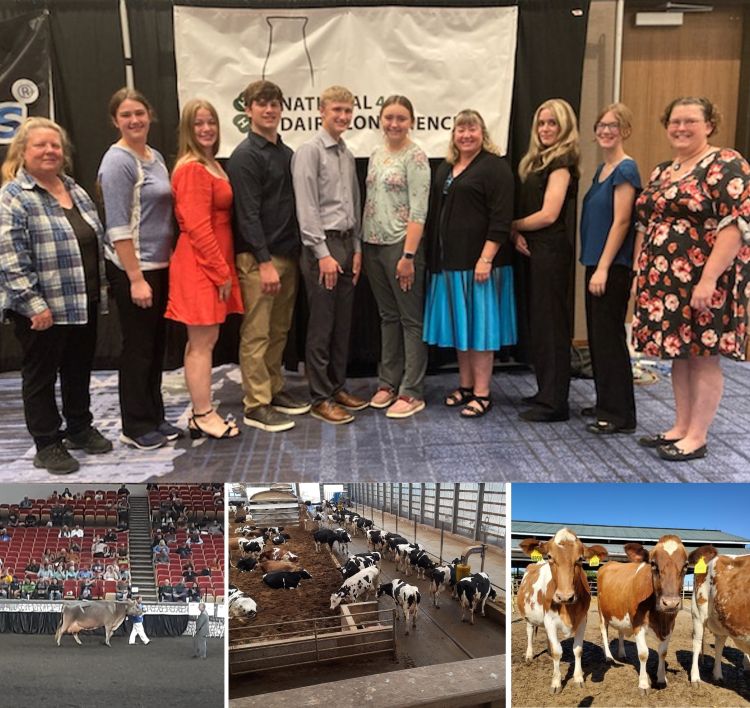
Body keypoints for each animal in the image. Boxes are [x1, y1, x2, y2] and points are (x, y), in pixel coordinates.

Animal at [520, 528, 612, 696]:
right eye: (550, 556)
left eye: (580, 559)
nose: (565, 596)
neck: (567, 610)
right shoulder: (549, 620)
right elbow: (558, 652)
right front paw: (556, 682)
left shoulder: (582, 620)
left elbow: (578, 649)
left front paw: (578, 678)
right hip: (529, 617)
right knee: (529, 632)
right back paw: (529, 655)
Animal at [600, 532, 688, 696]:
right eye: (653, 564)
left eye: (686, 565)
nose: (670, 603)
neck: (661, 618)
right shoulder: (638, 624)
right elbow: (643, 653)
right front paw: (643, 684)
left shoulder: (670, 626)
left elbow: (663, 652)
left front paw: (661, 679)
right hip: (602, 613)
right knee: (604, 631)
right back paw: (608, 657)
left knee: (620, 632)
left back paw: (622, 653)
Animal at [692, 544, 750, 684]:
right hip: (698, 612)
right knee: (697, 642)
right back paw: (695, 678)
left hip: (721, 619)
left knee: (719, 644)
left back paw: (717, 675)